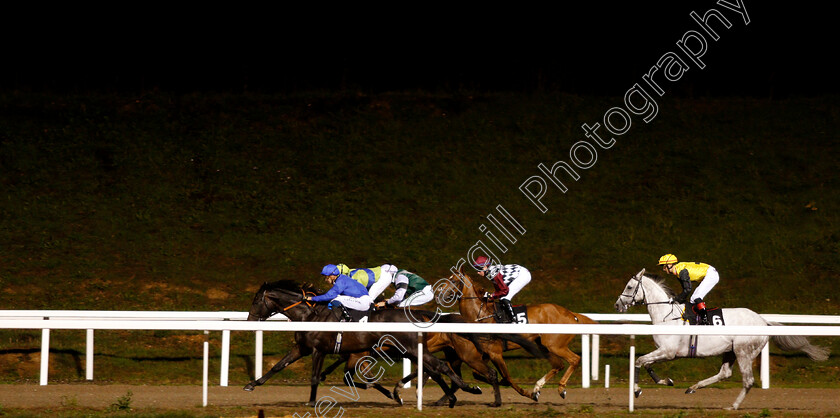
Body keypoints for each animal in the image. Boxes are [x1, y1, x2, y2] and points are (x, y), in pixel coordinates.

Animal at [241, 280, 480, 406]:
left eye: (256, 300)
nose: (249, 320)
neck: (310, 315)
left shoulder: (320, 350)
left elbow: (315, 377)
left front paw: (311, 401)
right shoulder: (302, 348)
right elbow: (278, 366)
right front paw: (252, 384)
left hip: (410, 348)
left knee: (439, 366)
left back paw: (467, 390)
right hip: (407, 350)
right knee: (434, 368)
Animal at [440, 268, 596, 402]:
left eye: (454, 281)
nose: (439, 293)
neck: (481, 314)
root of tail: (571, 314)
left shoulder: (495, 353)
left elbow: (507, 377)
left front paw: (526, 393)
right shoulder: (485, 354)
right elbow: (477, 374)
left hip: (556, 345)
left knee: (574, 359)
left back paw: (561, 388)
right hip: (544, 345)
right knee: (559, 364)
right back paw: (537, 387)